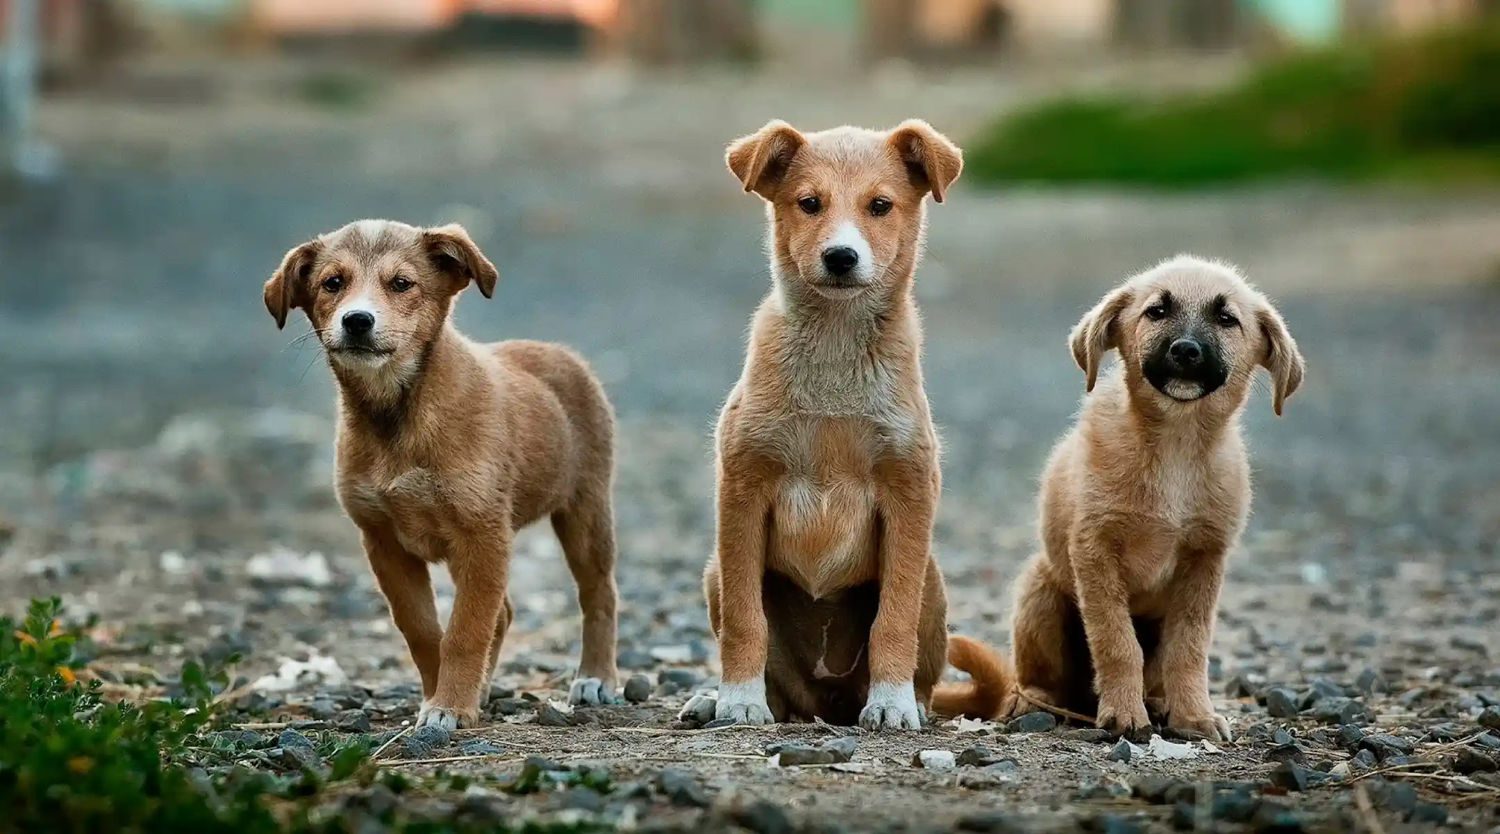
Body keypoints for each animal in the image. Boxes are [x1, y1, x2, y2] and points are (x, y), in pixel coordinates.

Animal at [265, 222, 621, 729]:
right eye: (332, 283)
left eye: (402, 283)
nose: (357, 321)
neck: (398, 415)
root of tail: (559, 353)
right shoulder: (384, 542)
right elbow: (423, 630)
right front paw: (441, 697)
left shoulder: (482, 535)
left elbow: (465, 630)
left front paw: (450, 706)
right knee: (504, 612)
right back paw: (485, 688)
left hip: (585, 511)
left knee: (598, 594)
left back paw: (596, 677)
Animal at [678, 119, 984, 729]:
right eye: (809, 203)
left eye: (880, 205)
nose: (841, 256)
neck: (835, 355)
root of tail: (826, 704)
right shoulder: (742, 490)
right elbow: (746, 621)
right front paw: (738, 699)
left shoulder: (909, 493)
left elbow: (893, 618)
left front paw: (891, 703)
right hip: (714, 572)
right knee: (776, 679)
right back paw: (717, 699)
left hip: (933, 580)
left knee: (919, 660)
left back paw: (908, 701)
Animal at [948, 258, 1302, 741]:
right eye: (1157, 311)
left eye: (1227, 319)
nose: (1186, 350)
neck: (1175, 445)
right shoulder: (1095, 551)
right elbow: (1116, 642)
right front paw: (1123, 714)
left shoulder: (1205, 559)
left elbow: (1189, 649)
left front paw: (1194, 715)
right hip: (1040, 591)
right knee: (1038, 678)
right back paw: (1035, 702)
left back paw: (1158, 702)